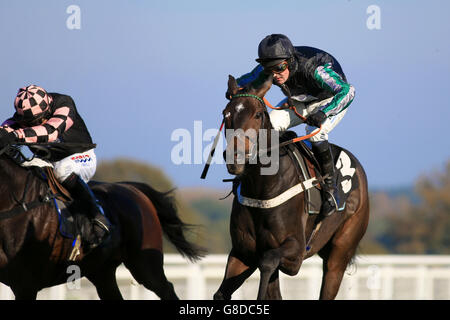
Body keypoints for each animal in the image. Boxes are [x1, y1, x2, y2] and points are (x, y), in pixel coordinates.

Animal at [214, 75, 370, 300]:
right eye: (226, 113)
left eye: (258, 114)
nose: (236, 157)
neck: (263, 187)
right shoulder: (243, 253)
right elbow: (221, 293)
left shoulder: (295, 253)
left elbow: (268, 260)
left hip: (340, 252)